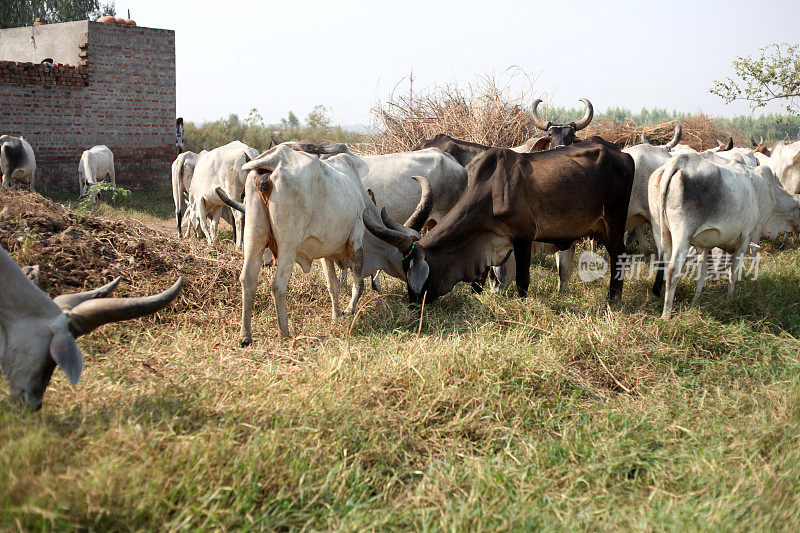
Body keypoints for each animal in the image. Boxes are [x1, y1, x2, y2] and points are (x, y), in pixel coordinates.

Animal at [366, 137, 636, 304]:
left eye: (417, 270)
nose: (413, 304)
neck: (491, 191)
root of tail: (622, 153)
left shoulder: (523, 237)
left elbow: (522, 281)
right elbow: (481, 280)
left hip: (613, 221)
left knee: (619, 254)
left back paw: (613, 299)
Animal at [648, 151, 800, 316]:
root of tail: (681, 160)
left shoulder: (706, 244)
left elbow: (702, 272)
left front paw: (696, 300)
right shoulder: (749, 234)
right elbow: (735, 270)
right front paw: (730, 299)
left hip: (661, 231)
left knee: (663, 266)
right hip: (683, 233)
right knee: (672, 269)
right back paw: (666, 314)